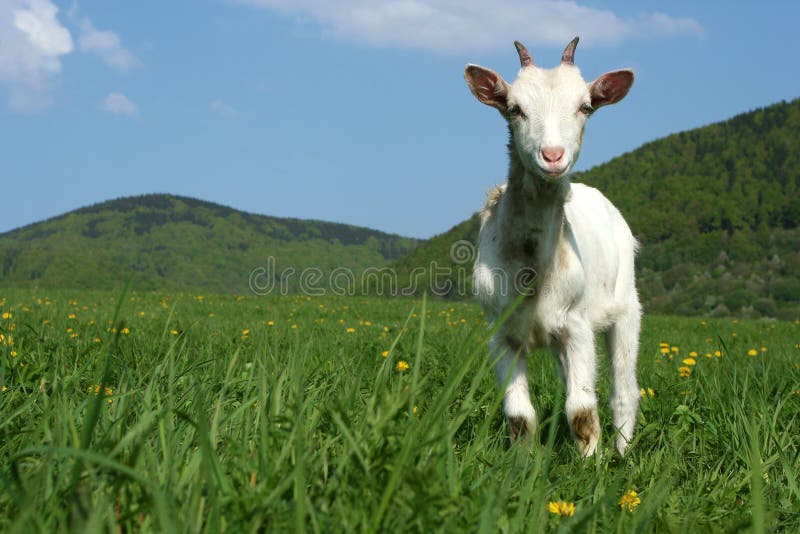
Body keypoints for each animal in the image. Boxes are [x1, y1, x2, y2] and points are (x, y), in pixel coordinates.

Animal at [466, 36, 640, 456]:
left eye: (585, 106)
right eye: (514, 109)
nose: (553, 156)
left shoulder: (576, 324)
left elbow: (581, 410)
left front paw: (591, 463)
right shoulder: (500, 333)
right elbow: (519, 416)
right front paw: (522, 464)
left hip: (627, 305)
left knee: (623, 387)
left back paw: (623, 451)